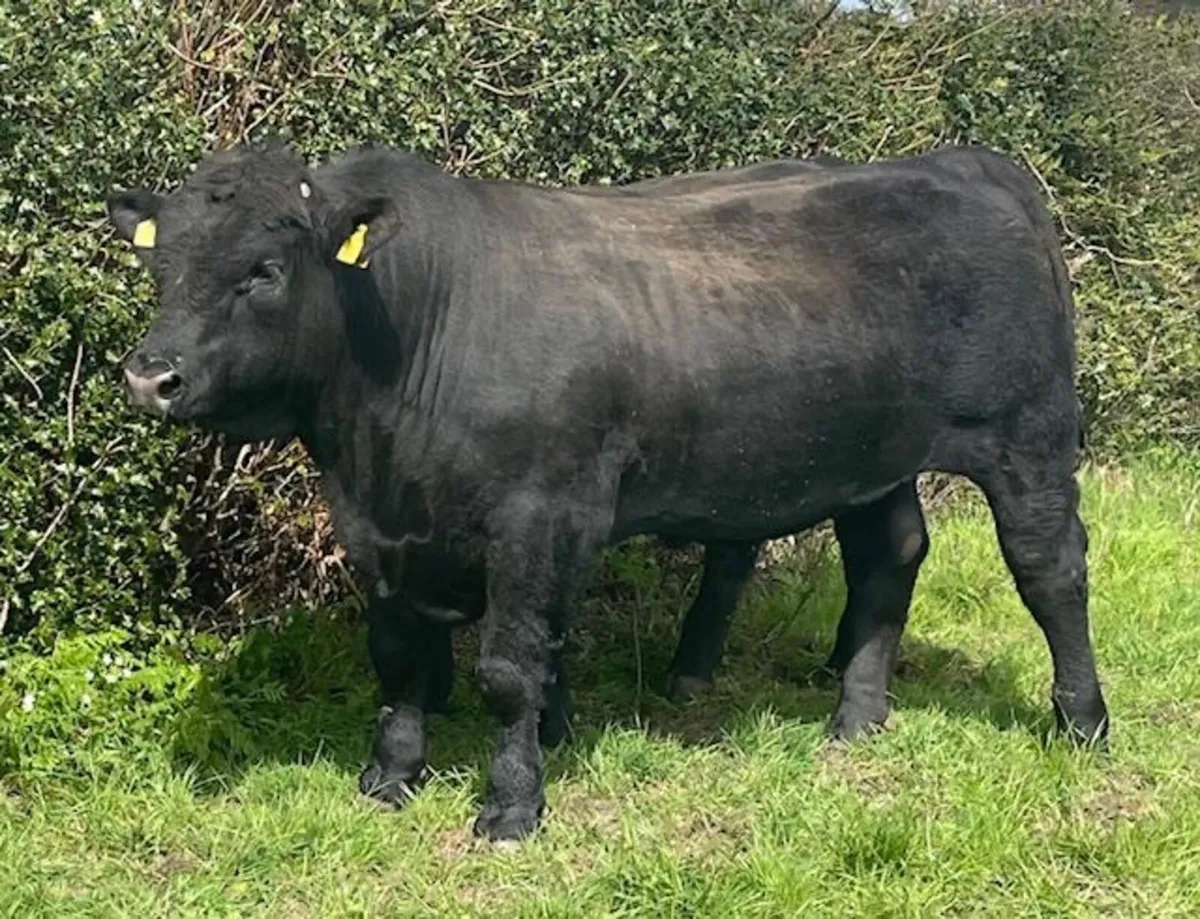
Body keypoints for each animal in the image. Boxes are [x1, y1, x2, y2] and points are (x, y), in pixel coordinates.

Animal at [107, 141, 1109, 841]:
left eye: (263, 271)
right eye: (162, 268)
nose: (151, 377)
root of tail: (966, 163)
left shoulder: (537, 517)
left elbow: (509, 670)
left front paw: (511, 806)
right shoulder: (380, 529)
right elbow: (398, 659)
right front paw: (391, 777)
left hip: (1027, 436)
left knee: (1049, 569)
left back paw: (1084, 722)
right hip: (870, 454)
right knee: (889, 557)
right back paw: (856, 717)